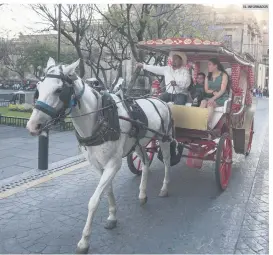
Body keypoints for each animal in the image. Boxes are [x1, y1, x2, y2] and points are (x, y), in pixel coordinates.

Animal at [26, 57, 171, 253]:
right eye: (38, 88)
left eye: (59, 90)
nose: (33, 126)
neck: (101, 118)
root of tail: (160, 100)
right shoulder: (97, 165)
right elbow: (107, 190)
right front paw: (112, 217)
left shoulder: (113, 164)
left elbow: (94, 201)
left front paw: (84, 240)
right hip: (138, 144)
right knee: (146, 162)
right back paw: (142, 194)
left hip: (164, 138)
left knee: (167, 162)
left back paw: (164, 187)